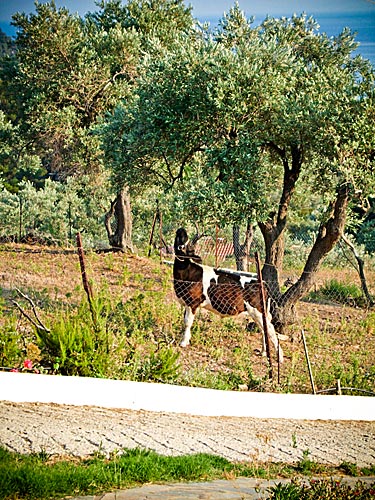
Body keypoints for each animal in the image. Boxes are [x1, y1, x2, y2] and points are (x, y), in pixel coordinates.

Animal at [173, 228, 284, 364]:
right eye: (179, 236)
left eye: (187, 241)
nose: (181, 230)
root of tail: (260, 282)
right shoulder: (186, 302)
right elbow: (185, 321)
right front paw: (185, 339)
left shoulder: (192, 302)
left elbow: (188, 322)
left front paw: (183, 343)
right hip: (259, 313)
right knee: (265, 329)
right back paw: (263, 352)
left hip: (257, 310)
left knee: (271, 330)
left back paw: (279, 358)